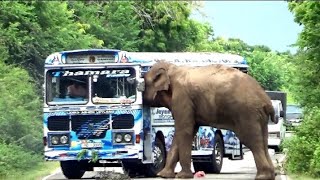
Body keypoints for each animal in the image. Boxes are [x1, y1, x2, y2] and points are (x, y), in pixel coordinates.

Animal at [142, 60, 278, 180]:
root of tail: (266, 99)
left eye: (142, 84)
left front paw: (183, 176)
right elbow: (185, 132)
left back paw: (262, 177)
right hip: (259, 116)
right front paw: (163, 175)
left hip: (247, 112)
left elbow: (185, 130)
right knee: (263, 139)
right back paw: (270, 175)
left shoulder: (182, 97)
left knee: (251, 140)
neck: (173, 69)